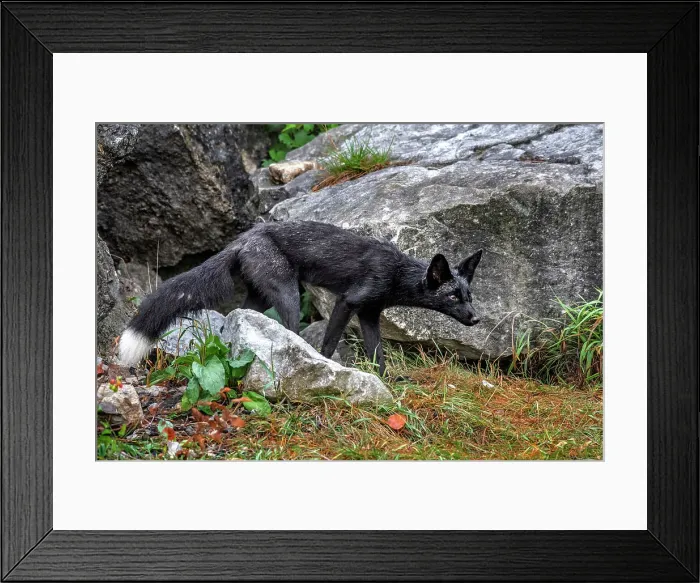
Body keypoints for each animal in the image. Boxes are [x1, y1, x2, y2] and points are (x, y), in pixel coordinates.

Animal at [119, 221, 482, 376]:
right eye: (453, 296)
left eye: (469, 295)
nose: (476, 318)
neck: (395, 272)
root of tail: (242, 239)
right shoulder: (349, 301)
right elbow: (329, 343)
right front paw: (327, 365)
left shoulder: (370, 313)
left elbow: (377, 354)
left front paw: (387, 380)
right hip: (289, 296)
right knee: (289, 330)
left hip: (261, 299)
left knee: (237, 318)